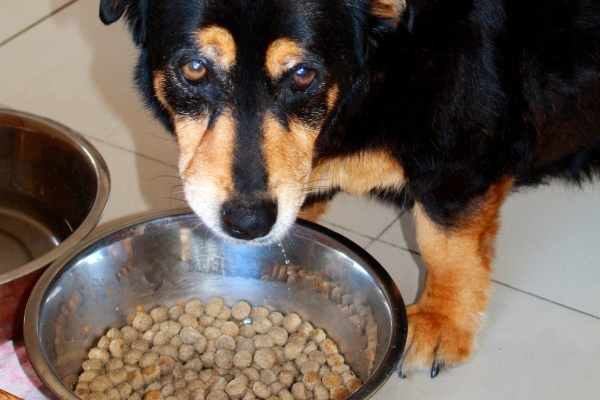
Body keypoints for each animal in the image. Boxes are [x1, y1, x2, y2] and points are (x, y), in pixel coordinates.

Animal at [99, 0, 600, 376]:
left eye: (304, 75)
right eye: (195, 68)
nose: (247, 222)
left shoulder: (460, 151)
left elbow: (445, 246)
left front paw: (443, 322)